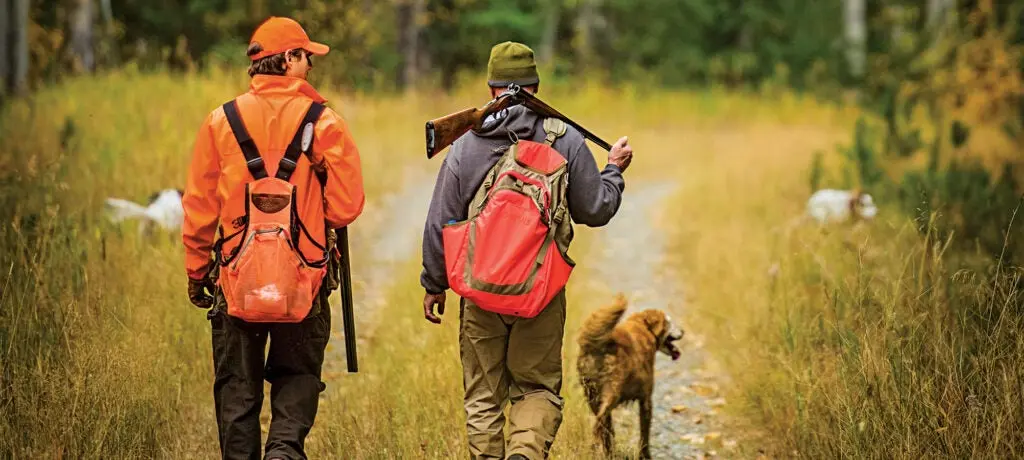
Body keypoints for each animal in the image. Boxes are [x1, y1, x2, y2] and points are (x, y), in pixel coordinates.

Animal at [577, 295, 679, 456]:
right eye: (669, 322)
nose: (683, 331)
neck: (643, 327)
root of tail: (601, 344)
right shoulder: (646, 400)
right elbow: (645, 435)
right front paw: (645, 455)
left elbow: (609, 429)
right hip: (611, 393)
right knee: (598, 424)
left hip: (592, 395)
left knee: (603, 425)